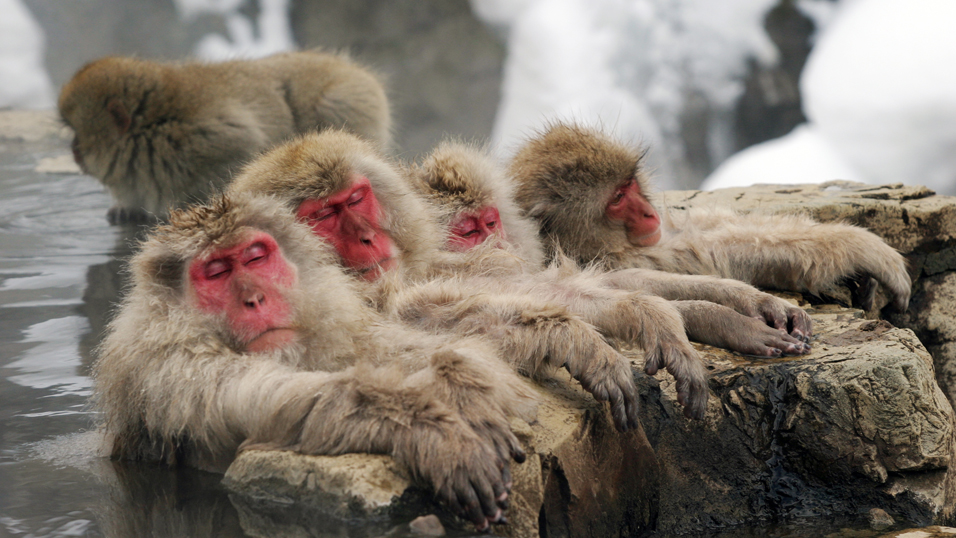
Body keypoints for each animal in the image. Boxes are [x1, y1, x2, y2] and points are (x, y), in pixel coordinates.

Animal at [59, 50, 390, 224]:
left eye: (77, 135)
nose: (73, 151)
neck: (152, 129)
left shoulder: (210, 138)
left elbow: (244, 149)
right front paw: (126, 208)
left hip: (347, 100)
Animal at [93, 192, 536, 528]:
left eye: (255, 258)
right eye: (216, 272)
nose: (255, 299)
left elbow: (389, 347)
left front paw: (462, 384)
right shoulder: (170, 367)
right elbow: (266, 400)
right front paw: (430, 429)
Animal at [512, 122, 916, 312]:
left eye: (629, 185)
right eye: (616, 199)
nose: (647, 212)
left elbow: (707, 227)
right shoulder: (620, 258)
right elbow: (715, 252)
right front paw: (860, 246)